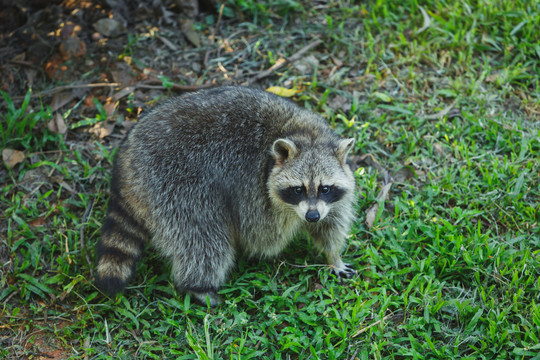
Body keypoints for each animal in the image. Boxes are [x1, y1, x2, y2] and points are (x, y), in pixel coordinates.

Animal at [97, 86, 358, 306]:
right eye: (298, 189)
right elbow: (263, 236)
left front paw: (332, 256)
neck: (304, 134)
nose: (312, 216)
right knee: (203, 235)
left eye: (325, 188)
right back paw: (198, 286)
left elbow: (329, 225)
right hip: (174, 181)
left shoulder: (331, 200)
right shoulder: (253, 189)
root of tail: (128, 154)